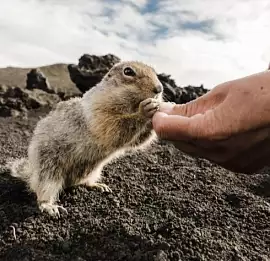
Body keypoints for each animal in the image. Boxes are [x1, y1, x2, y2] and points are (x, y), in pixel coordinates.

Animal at [5, 60, 162, 215]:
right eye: (128, 71)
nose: (159, 88)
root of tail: (32, 173)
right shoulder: (100, 113)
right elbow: (115, 127)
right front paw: (145, 110)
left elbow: (137, 141)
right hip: (49, 169)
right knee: (44, 189)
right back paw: (49, 206)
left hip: (93, 171)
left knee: (82, 182)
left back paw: (98, 185)